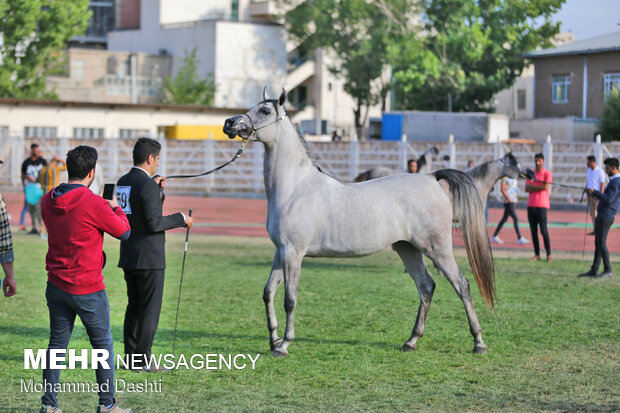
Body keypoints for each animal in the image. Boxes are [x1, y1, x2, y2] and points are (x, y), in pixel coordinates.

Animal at [223, 89, 494, 358]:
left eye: (264, 111)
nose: (230, 123)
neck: (296, 187)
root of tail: (431, 177)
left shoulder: (293, 253)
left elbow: (290, 299)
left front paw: (284, 345)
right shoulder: (281, 252)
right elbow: (268, 292)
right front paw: (273, 339)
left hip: (437, 249)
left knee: (462, 285)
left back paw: (478, 342)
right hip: (407, 248)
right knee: (426, 286)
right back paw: (411, 341)